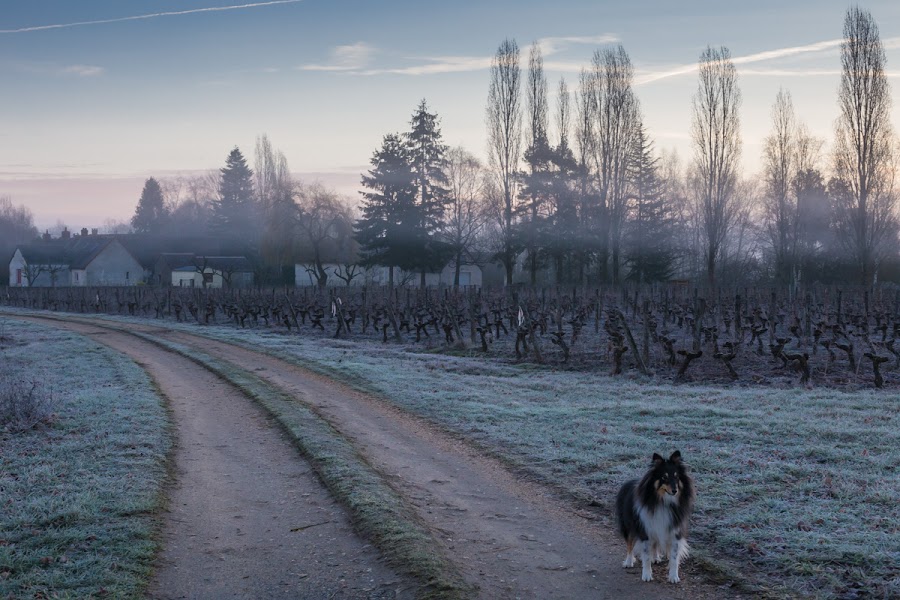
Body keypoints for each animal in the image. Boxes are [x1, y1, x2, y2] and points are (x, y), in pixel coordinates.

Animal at [615, 451, 695, 583]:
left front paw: (673, 577)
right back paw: (629, 562)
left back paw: (656, 557)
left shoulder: (674, 531)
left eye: (677, 476)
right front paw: (647, 575)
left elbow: (674, 557)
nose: (675, 490)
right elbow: (646, 556)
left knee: (655, 543)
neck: (663, 501)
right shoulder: (645, 529)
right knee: (629, 544)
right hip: (628, 525)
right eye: (664, 477)